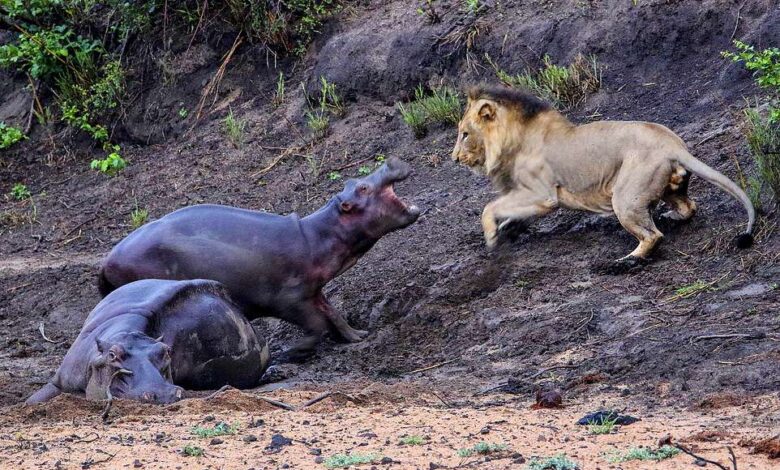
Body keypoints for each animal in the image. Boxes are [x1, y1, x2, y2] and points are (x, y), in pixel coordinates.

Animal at [98, 157, 420, 360]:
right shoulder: (289, 298)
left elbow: (333, 313)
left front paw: (358, 335)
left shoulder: (313, 290)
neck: (318, 234)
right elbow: (317, 325)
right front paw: (291, 352)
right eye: (363, 187)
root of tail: (106, 260)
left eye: (356, 180)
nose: (389, 162)